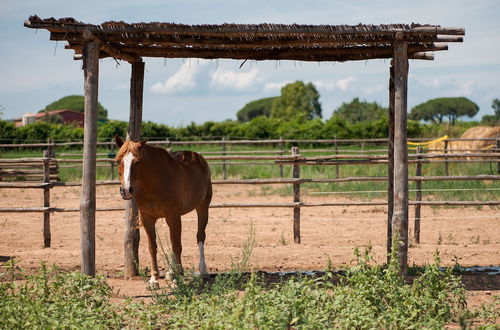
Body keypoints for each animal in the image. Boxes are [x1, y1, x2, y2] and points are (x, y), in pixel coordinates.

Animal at [114, 135, 212, 286]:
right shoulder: (147, 218)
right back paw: (171, 273)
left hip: (202, 208)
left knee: (200, 237)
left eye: (137, 162)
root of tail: (198, 158)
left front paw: (176, 280)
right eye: (118, 160)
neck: (154, 185)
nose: (126, 190)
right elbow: (153, 247)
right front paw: (154, 279)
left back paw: (203, 272)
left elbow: (176, 246)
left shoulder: (173, 216)